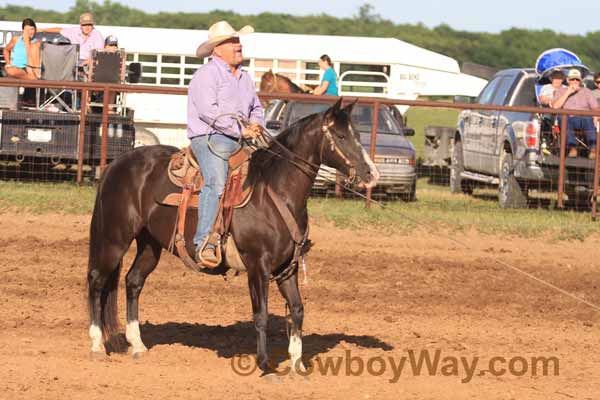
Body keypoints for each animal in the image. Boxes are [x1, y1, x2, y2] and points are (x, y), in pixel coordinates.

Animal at [85, 99, 380, 376]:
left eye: (357, 134)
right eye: (340, 136)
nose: (371, 174)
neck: (274, 191)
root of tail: (115, 165)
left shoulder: (287, 267)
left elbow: (297, 310)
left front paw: (297, 364)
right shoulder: (258, 265)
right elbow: (260, 315)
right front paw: (264, 365)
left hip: (150, 244)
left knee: (133, 281)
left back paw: (137, 344)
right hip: (115, 238)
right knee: (97, 281)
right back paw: (97, 345)